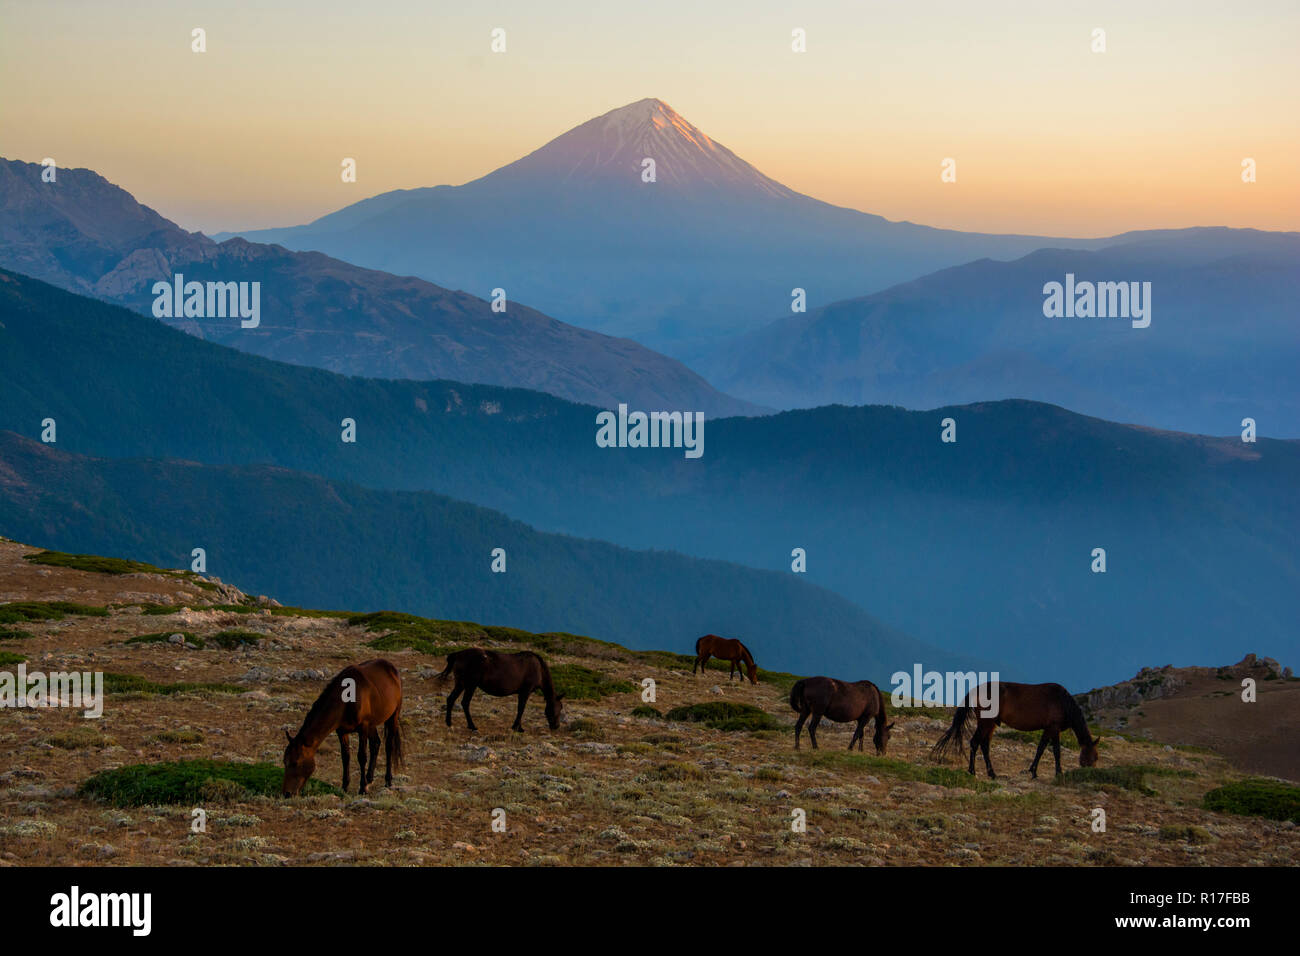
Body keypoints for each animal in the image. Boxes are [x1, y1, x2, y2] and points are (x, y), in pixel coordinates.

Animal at [282, 658, 403, 801]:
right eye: (284, 762)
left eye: (295, 763)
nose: (287, 793)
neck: (346, 700)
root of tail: (391, 668)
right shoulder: (342, 731)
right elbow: (345, 757)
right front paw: (345, 787)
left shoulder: (363, 728)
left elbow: (361, 756)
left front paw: (362, 789)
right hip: (372, 724)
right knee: (376, 743)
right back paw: (369, 779)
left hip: (392, 716)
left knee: (389, 746)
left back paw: (388, 781)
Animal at [436, 650, 564, 733]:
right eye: (559, 708)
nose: (556, 726)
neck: (539, 669)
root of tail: (458, 654)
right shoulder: (525, 691)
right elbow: (521, 709)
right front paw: (517, 728)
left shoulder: (522, 693)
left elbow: (520, 708)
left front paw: (518, 727)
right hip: (471, 685)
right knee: (465, 703)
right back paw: (472, 726)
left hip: (461, 684)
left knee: (451, 699)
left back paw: (449, 723)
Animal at [930, 681, 1102, 780]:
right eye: (1094, 757)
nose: (1091, 773)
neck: (1061, 701)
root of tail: (977, 688)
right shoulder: (1054, 729)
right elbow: (1056, 751)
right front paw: (1058, 773)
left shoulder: (1047, 729)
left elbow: (1040, 749)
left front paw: (1033, 771)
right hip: (985, 723)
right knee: (975, 743)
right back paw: (972, 771)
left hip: (990, 724)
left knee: (984, 745)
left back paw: (992, 773)